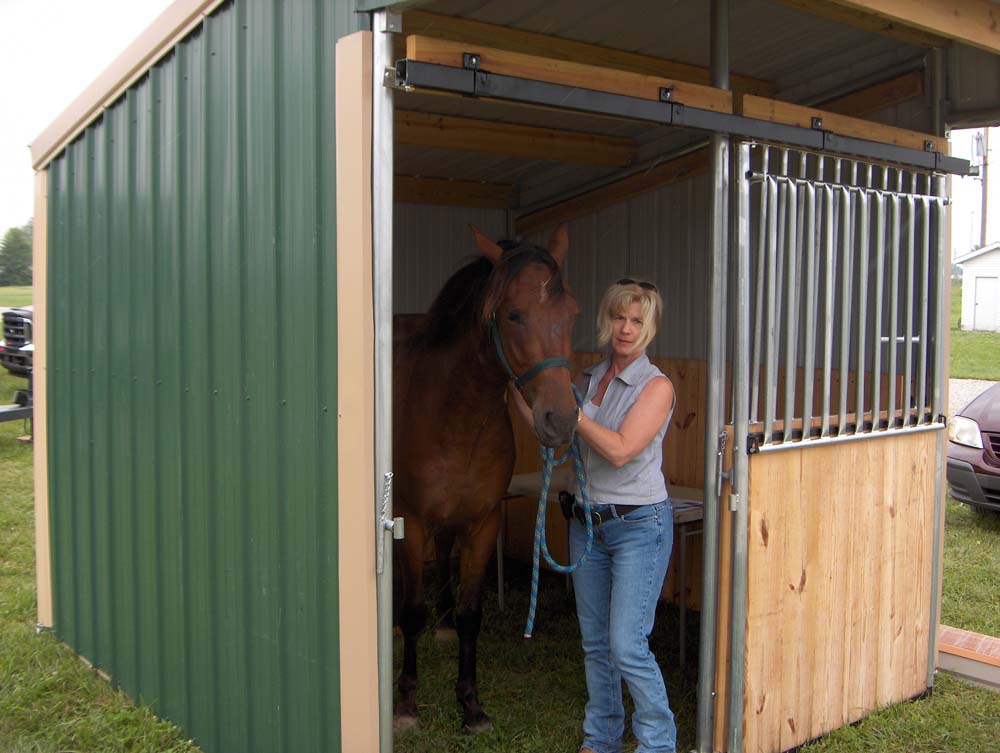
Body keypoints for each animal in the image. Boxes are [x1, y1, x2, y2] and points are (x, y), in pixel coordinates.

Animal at [390, 226, 580, 732]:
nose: (561, 420)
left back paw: (443, 623)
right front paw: (405, 703)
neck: (456, 415)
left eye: (571, 313)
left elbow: (472, 615)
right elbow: (411, 611)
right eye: (513, 314)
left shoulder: (482, 522)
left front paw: (471, 705)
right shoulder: (410, 520)